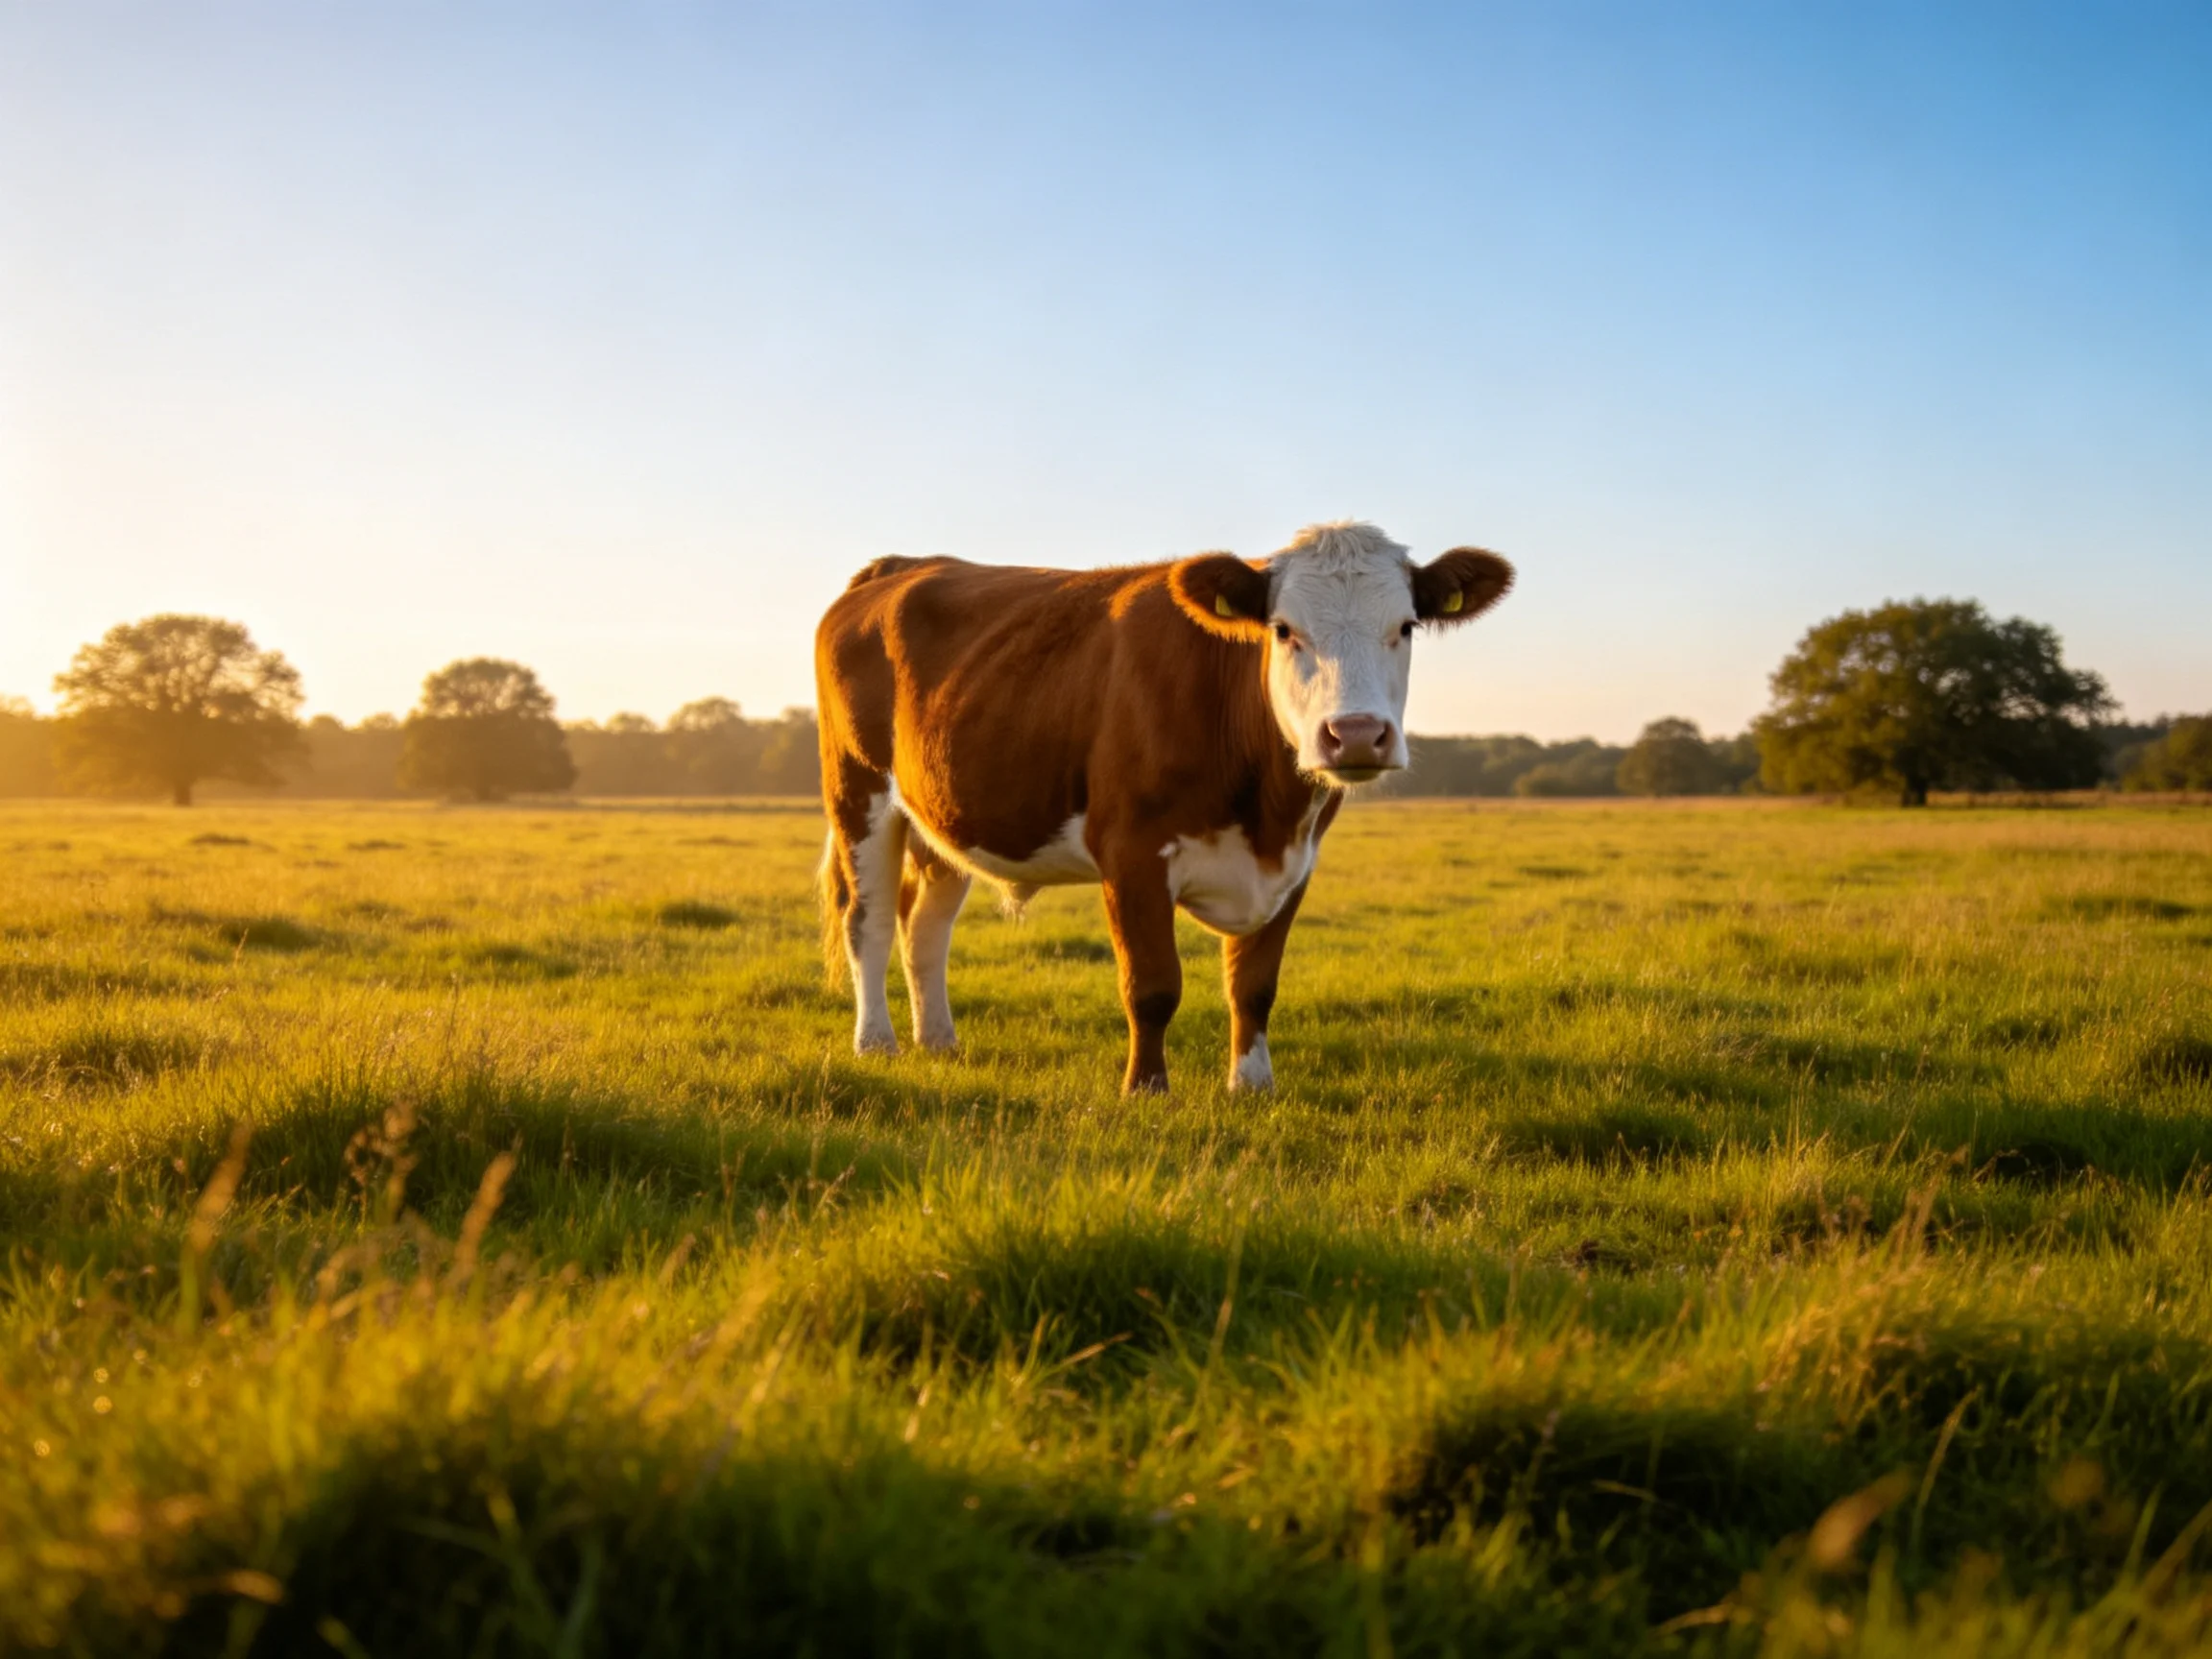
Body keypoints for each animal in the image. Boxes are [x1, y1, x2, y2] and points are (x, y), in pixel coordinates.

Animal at [814, 520, 1513, 1094]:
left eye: (1406, 627)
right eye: (1284, 630)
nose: (1358, 734)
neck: (1265, 810)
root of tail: (901, 565)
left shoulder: (1295, 864)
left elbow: (1254, 985)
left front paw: (1251, 1086)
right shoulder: (1131, 854)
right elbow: (1151, 987)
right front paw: (1146, 1090)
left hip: (941, 815)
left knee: (925, 925)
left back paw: (940, 1042)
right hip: (858, 793)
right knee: (869, 919)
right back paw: (876, 1044)